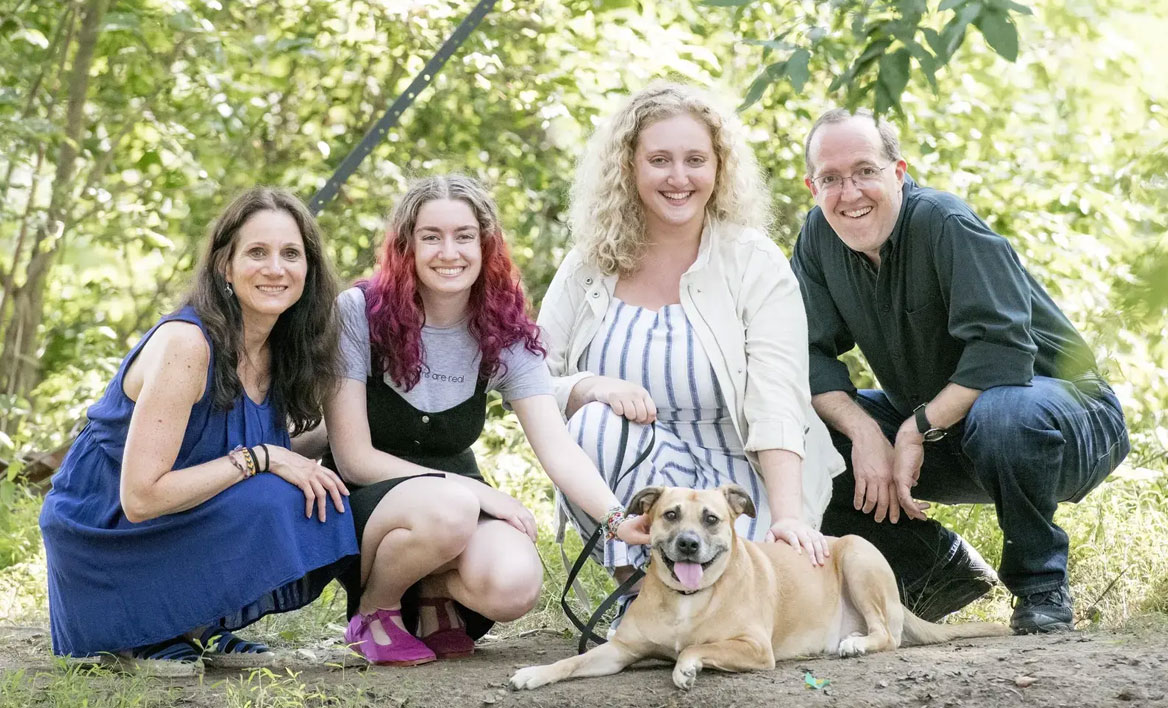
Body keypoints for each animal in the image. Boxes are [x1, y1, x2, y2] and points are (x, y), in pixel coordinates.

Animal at [506, 486, 1009, 691]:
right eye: (670, 515)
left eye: (712, 518)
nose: (688, 544)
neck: (688, 600)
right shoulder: (619, 652)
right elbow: (571, 662)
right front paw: (536, 674)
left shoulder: (753, 648)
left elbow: (696, 648)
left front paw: (685, 668)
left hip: (857, 556)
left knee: (887, 634)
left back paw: (856, 644)